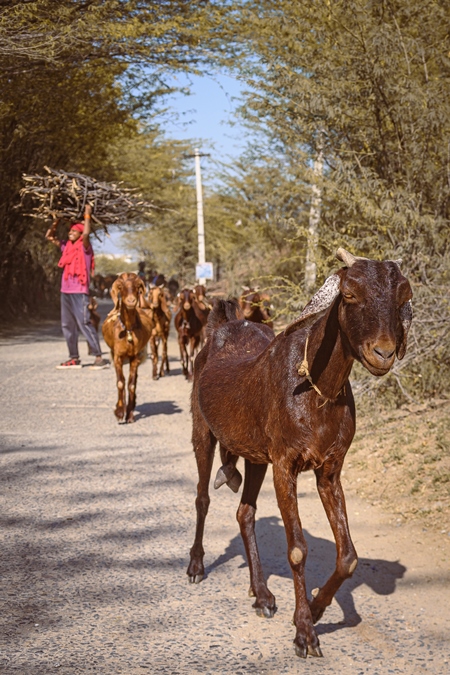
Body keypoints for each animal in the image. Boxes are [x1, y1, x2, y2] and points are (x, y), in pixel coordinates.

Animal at [102, 274, 153, 422]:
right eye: (120, 287)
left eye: (137, 286)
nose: (131, 301)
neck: (128, 330)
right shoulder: (117, 357)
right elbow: (120, 382)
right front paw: (120, 413)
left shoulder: (135, 357)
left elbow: (131, 384)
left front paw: (129, 414)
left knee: (134, 380)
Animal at [186, 250, 412, 660]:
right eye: (349, 294)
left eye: (403, 294)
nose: (383, 353)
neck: (314, 386)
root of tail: (222, 322)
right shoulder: (285, 465)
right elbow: (296, 550)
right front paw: (305, 632)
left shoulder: (330, 469)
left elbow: (349, 556)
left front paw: (317, 607)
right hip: (203, 430)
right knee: (202, 497)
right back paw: (196, 565)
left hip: (256, 455)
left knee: (245, 512)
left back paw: (261, 594)